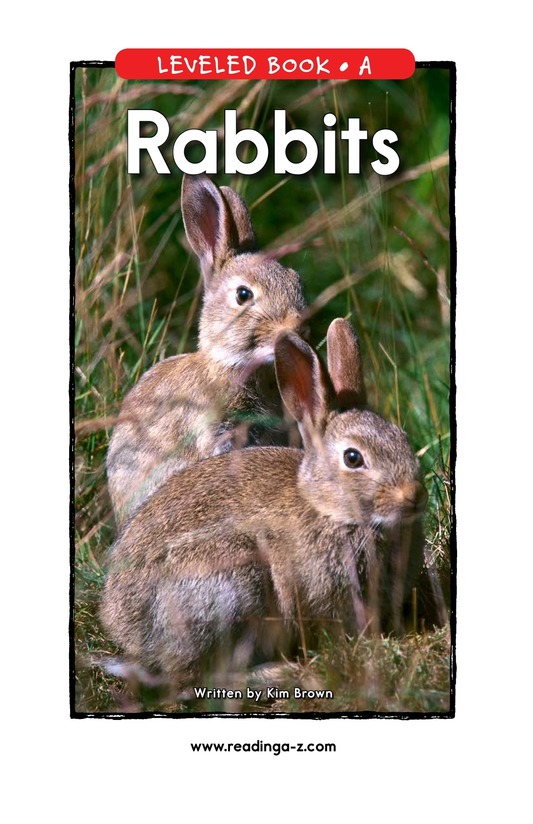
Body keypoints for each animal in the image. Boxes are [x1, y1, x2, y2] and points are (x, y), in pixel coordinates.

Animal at [100, 318, 427, 693]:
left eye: (403, 438)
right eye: (353, 458)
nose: (414, 494)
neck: (327, 507)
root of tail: (124, 628)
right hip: (232, 583)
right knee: (195, 676)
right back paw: (279, 672)